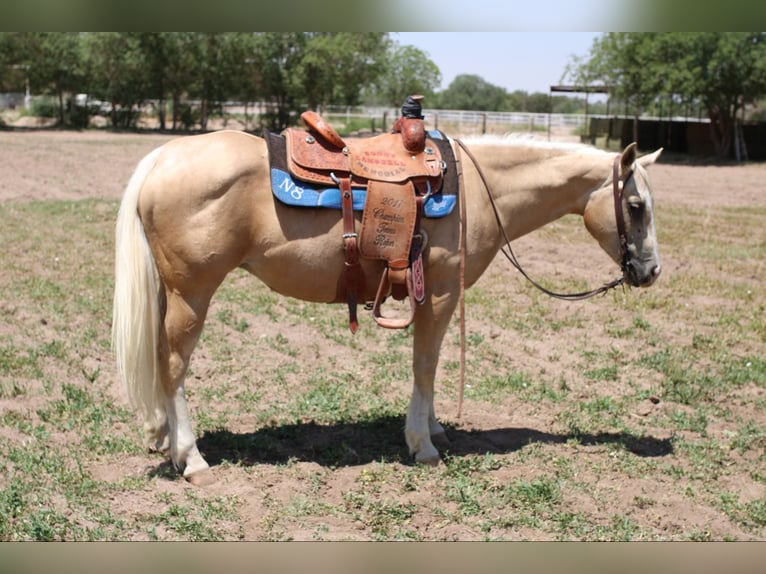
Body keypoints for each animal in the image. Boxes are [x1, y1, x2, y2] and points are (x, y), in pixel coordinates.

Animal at [112, 129, 663, 485]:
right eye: (636, 207)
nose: (651, 270)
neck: (479, 187)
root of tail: (161, 157)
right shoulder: (439, 294)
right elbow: (426, 364)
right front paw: (423, 445)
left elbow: (429, 367)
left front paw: (435, 427)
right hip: (194, 293)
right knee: (174, 365)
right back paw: (192, 458)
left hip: (171, 292)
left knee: (159, 359)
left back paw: (162, 436)